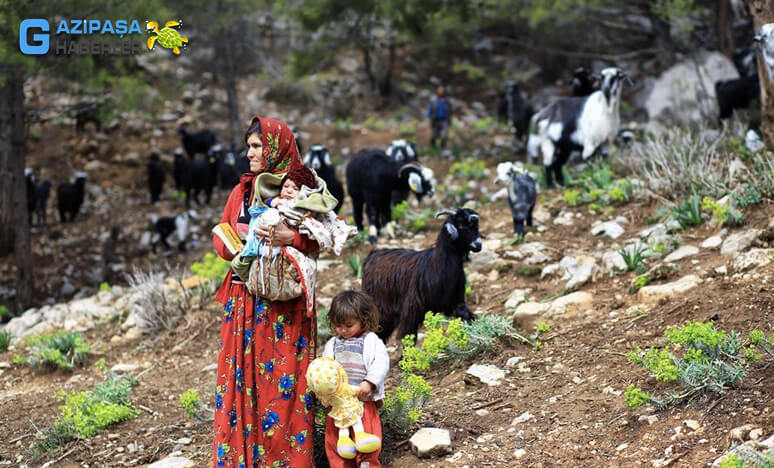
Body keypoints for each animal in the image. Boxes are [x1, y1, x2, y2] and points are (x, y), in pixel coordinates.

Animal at [360, 208, 482, 340]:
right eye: (460, 225)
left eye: (476, 225)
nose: (478, 244)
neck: (437, 265)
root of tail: (372, 255)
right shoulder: (412, 310)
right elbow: (407, 337)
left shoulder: (456, 302)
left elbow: (467, 317)